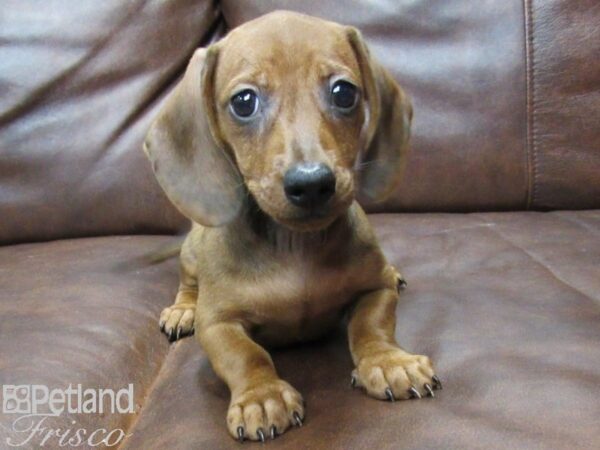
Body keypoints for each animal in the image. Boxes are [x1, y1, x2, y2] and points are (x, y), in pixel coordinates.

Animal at [143, 10, 438, 442]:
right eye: (244, 101)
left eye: (344, 92)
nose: (312, 183)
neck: (294, 245)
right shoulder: (218, 323)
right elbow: (246, 355)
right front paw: (262, 396)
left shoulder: (375, 289)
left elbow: (372, 325)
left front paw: (388, 362)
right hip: (191, 254)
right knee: (188, 283)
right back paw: (182, 310)